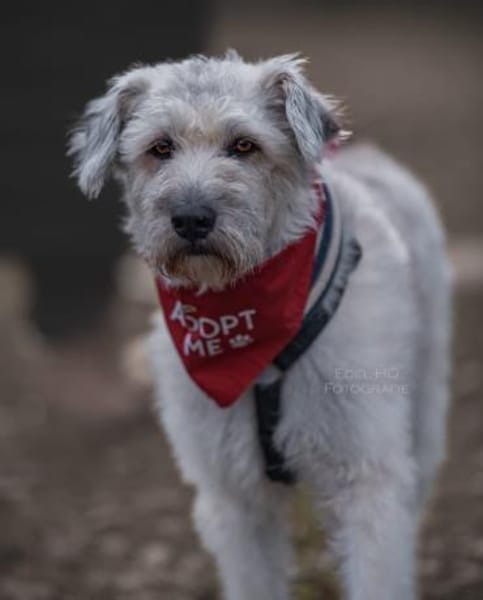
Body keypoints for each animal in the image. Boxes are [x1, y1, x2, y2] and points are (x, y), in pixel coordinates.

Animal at [68, 52, 451, 600]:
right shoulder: (233, 496)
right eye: (160, 147)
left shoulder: (368, 476)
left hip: (424, 410)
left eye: (244, 145)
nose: (191, 218)